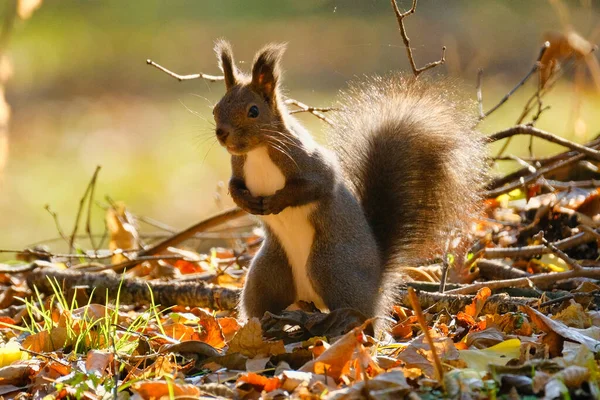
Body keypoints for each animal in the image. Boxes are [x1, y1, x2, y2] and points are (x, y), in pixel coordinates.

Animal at [211, 40, 488, 320]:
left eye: (253, 111)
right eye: (216, 109)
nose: (222, 133)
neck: (258, 151)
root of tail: (377, 279)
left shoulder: (313, 164)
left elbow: (316, 185)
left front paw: (277, 201)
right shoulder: (239, 168)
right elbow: (234, 186)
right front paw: (245, 202)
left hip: (330, 267)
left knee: (362, 316)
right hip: (268, 273)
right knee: (260, 306)